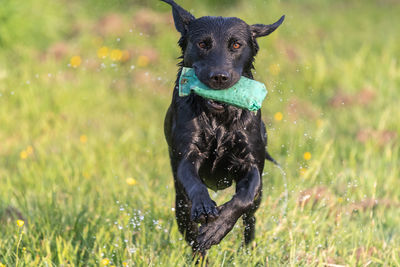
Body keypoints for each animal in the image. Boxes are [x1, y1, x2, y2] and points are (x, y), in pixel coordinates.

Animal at [162, 0, 284, 255]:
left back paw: (247, 251)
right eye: (202, 44)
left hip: (258, 201)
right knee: (192, 238)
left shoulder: (252, 164)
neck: (219, 120)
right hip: (180, 205)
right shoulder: (187, 155)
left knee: (250, 218)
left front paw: (217, 228)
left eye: (236, 44)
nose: (219, 77)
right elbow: (194, 182)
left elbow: (244, 198)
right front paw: (204, 207)